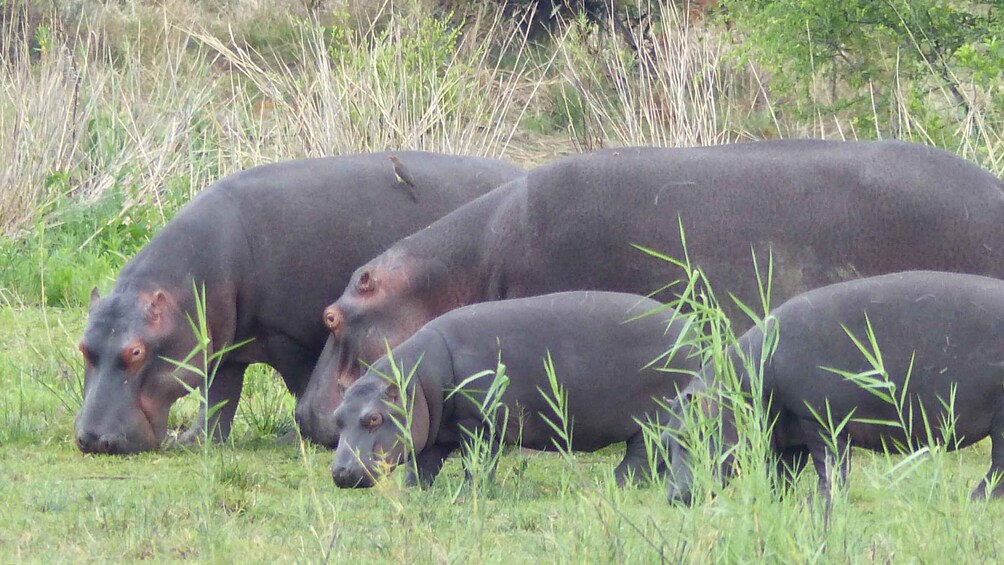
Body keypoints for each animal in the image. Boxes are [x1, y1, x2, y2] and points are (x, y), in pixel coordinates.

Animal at [71, 151, 526, 455]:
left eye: (135, 352)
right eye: (82, 347)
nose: (92, 439)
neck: (186, 287)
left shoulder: (286, 337)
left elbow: (297, 385)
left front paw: (301, 434)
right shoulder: (223, 346)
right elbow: (218, 399)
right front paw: (194, 441)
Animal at [327, 289, 698, 487]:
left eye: (374, 418)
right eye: (337, 418)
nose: (340, 472)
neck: (417, 380)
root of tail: (695, 333)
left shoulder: (477, 423)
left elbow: (478, 461)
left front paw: (470, 492)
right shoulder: (437, 430)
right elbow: (423, 466)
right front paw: (413, 492)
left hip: (652, 417)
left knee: (642, 455)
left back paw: (614, 482)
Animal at [662, 270, 1003, 505]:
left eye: (690, 435)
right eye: (665, 439)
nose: (672, 496)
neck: (742, 386)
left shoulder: (820, 419)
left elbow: (829, 465)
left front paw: (821, 500)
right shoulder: (788, 429)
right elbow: (783, 472)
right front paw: (774, 501)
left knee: (998, 464)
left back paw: (975, 498)